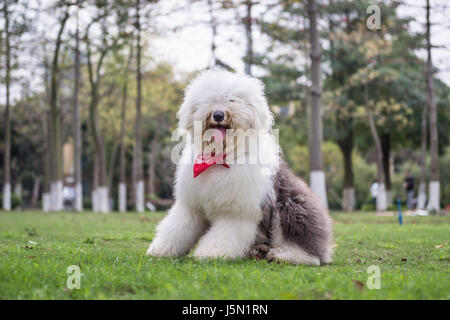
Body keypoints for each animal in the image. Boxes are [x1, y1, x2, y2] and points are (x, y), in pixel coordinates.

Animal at [146, 68, 332, 264]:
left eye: (233, 100)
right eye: (209, 100)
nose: (218, 114)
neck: (220, 158)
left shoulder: (236, 211)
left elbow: (224, 235)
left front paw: (211, 253)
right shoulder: (191, 206)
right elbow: (177, 228)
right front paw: (160, 250)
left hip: (291, 206)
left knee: (308, 250)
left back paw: (284, 255)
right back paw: (258, 251)